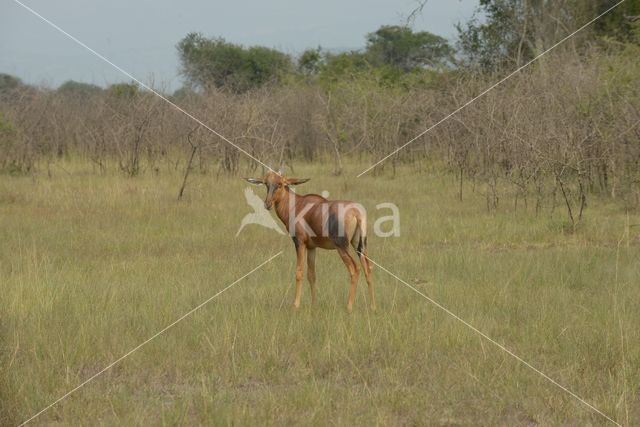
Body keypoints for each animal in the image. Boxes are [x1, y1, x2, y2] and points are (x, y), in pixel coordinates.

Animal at [245, 171, 376, 314]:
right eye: (266, 184)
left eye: (280, 184)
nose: (267, 204)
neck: (297, 205)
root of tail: (356, 212)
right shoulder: (312, 247)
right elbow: (311, 275)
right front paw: (314, 305)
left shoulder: (300, 243)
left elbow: (299, 272)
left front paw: (295, 305)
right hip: (360, 245)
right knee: (368, 268)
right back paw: (372, 306)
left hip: (342, 246)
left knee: (355, 268)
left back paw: (349, 307)